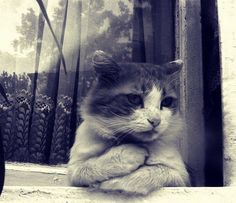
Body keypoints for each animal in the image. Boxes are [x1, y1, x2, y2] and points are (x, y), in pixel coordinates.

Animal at [68, 50, 190, 196]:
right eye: (134, 99)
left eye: (166, 101)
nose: (156, 121)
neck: (130, 140)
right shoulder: (73, 172)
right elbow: (86, 167)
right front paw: (128, 154)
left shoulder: (183, 179)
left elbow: (158, 170)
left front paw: (116, 183)